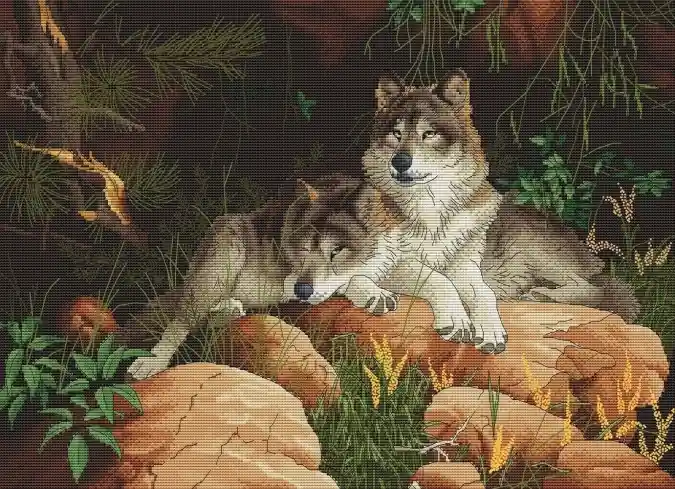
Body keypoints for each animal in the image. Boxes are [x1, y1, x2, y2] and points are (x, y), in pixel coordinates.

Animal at [126, 175, 405, 380]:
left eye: (336, 250)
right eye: (304, 249)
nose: (301, 291)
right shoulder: (290, 279)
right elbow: (346, 279)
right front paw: (374, 294)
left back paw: (230, 309)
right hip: (225, 245)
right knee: (184, 318)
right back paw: (150, 363)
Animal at [362, 69, 639, 353]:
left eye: (428, 133)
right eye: (396, 133)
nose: (399, 162)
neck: (430, 210)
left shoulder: (464, 266)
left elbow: (480, 293)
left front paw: (489, 330)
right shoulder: (390, 261)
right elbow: (439, 280)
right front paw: (459, 321)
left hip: (535, 252)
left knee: (594, 288)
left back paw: (540, 295)